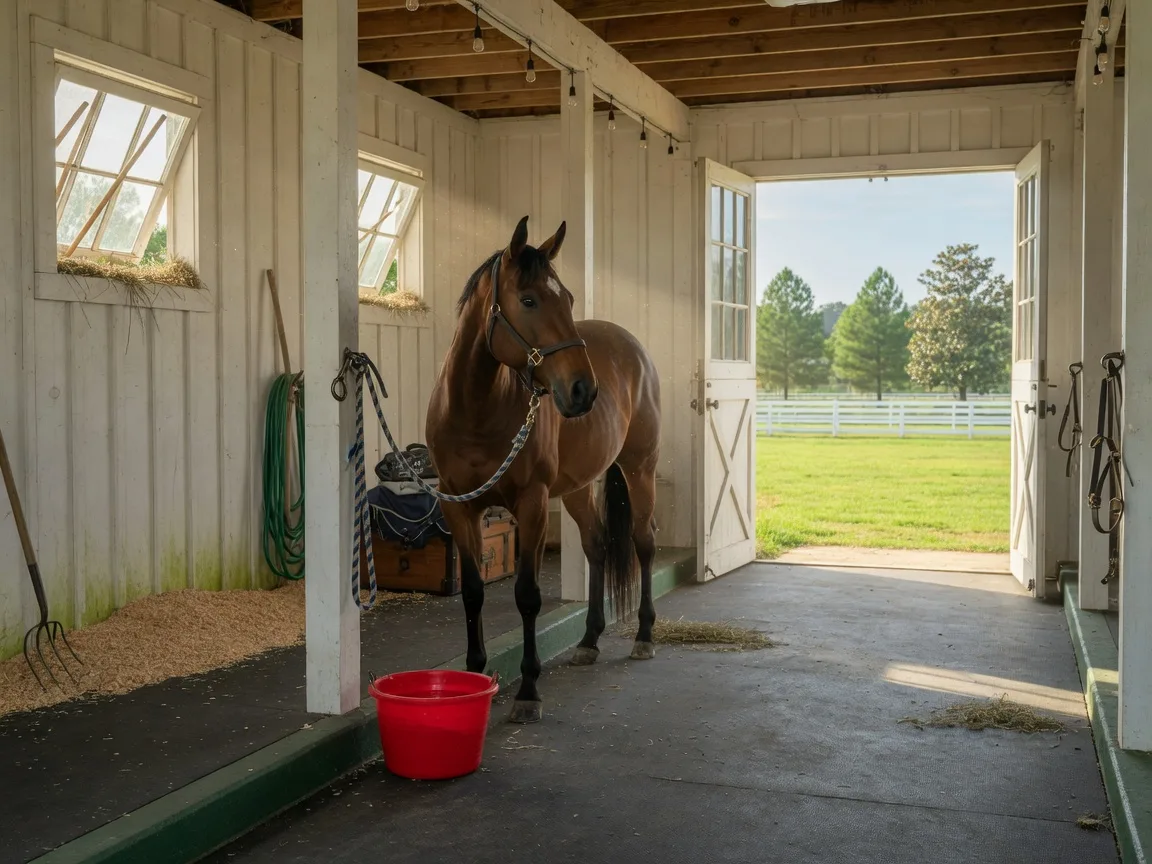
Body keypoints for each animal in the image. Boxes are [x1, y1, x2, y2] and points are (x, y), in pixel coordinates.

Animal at [425, 215, 662, 724]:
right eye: (529, 300)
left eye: (568, 299)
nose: (583, 390)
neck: (476, 412)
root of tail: (633, 347)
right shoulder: (460, 507)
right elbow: (472, 592)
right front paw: (476, 673)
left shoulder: (531, 504)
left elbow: (528, 595)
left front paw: (528, 690)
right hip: (577, 488)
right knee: (596, 545)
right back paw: (589, 640)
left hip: (640, 470)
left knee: (643, 543)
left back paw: (644, 636)